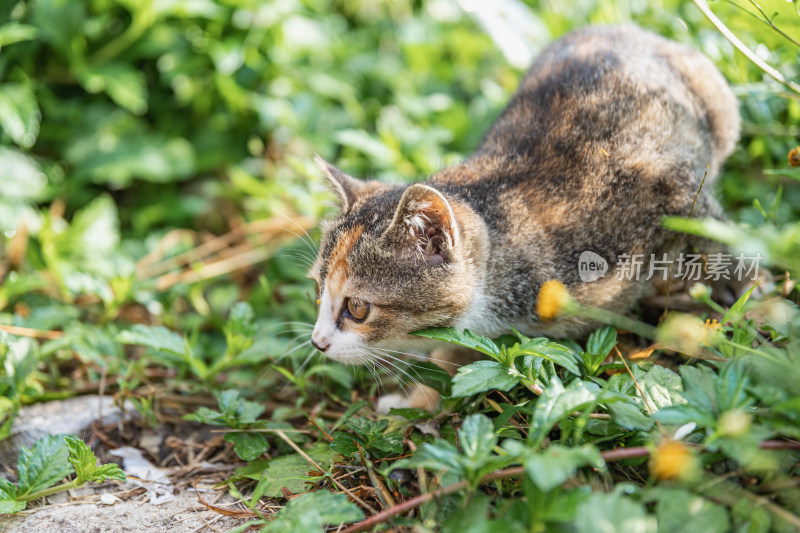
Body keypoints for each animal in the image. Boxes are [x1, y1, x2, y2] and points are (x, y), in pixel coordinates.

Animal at [304, 22, 736, 410]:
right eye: (317, 291)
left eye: (357, 308)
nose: (317, 342)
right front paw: (420, 401)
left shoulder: (675, 189)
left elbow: (718, 239)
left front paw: (740, 310)